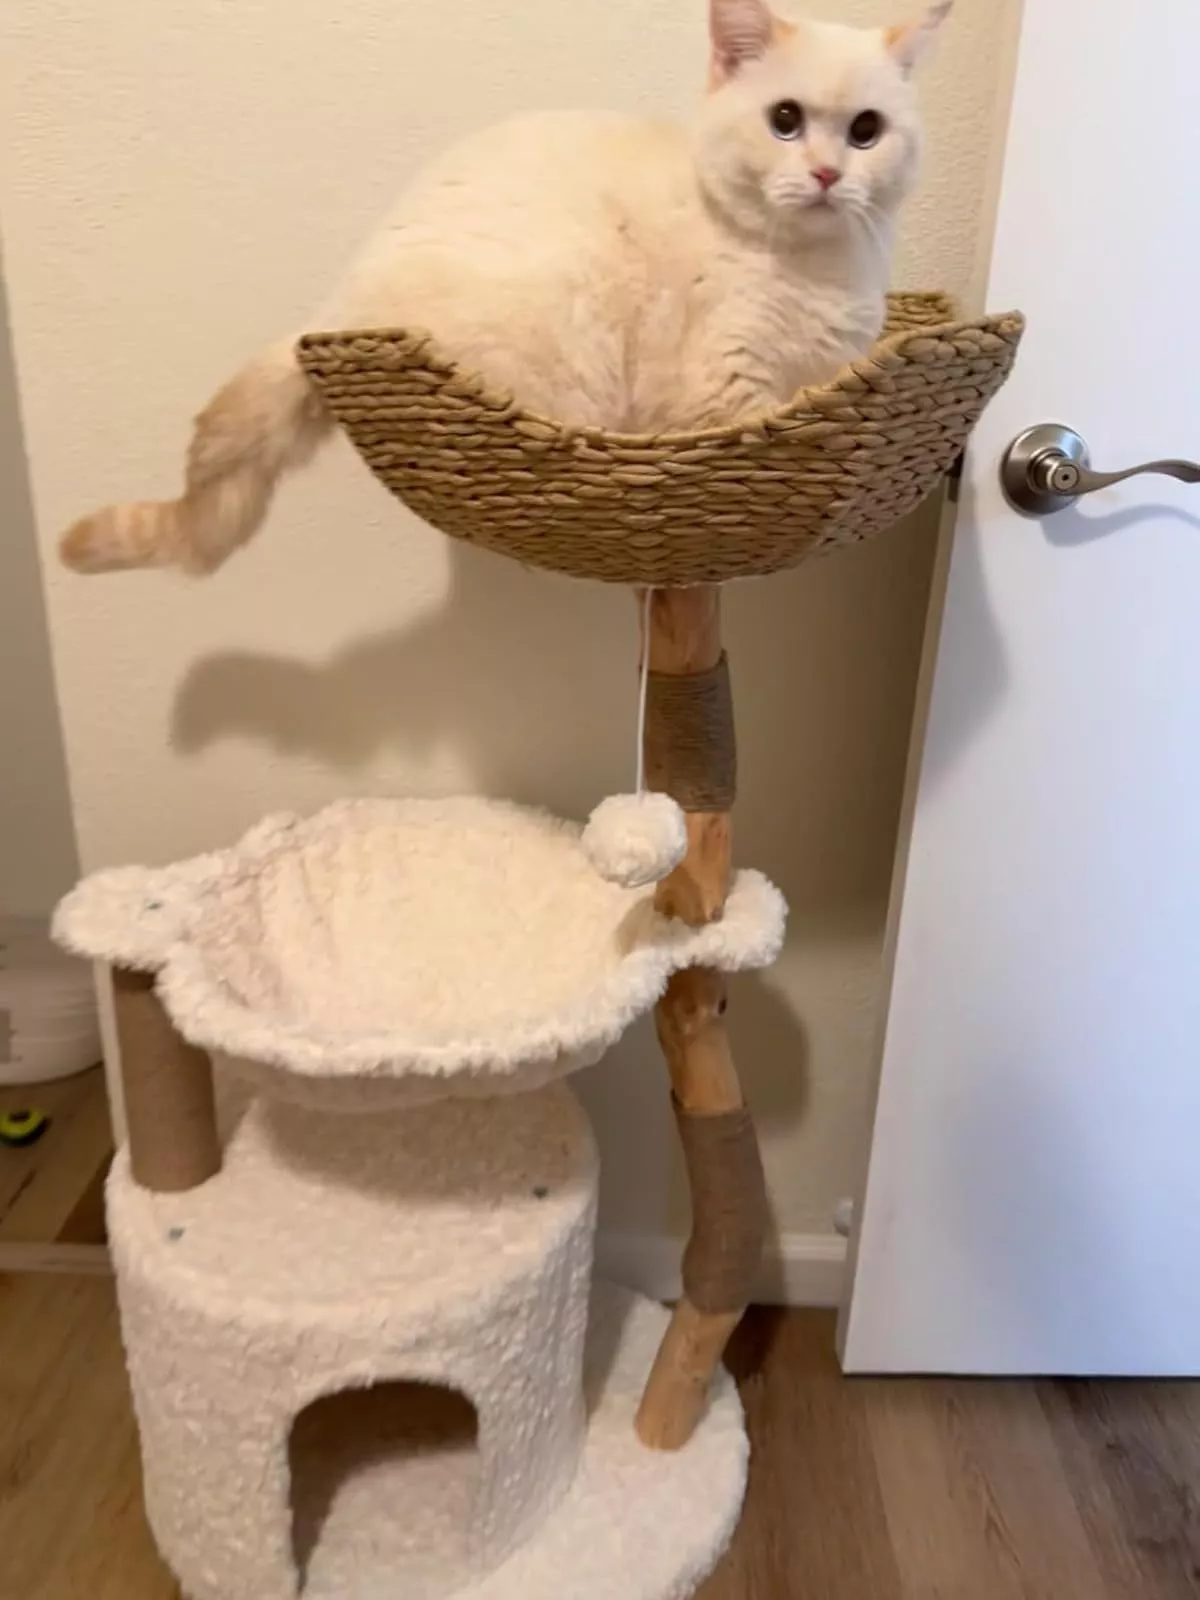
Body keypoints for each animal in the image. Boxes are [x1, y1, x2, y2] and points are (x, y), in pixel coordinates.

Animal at [59, 0, 950, 577]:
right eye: (785, 120)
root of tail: (335, 316)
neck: (813, 269)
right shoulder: (724, 396)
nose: (829, 174)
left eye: (866, 131)